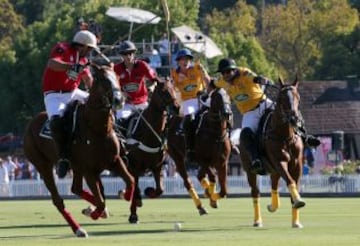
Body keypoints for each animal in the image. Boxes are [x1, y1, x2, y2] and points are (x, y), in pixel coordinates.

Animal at [23, 64, 134, 237]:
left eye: (116, 76)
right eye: (102, 79)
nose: (119, 100)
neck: (97, 129)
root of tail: (30, 124)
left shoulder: (114, 161)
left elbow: (130, 180)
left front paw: (125, 195)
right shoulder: (89, 170)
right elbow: (101, 200)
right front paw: (95, 212)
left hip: (76, 167)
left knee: (76, 188)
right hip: (43, 165)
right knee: (58, 200)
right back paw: (78, 229)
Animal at [118, 80, 180, 223]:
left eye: (174, 89)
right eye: (163, 91)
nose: (177, 108)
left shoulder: (157, 166)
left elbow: (160, 189)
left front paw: (148, 191)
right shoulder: (134, 166)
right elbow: (135, 186)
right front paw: (133, 215)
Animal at [240, 77, 306, 229]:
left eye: (298, 97)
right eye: (281, 98)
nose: (295, 119)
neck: (285, 136)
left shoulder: (297, 164)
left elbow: (294, 184)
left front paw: (296, 222)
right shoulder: (279, 161)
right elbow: (290, 180)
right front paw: (299, 201)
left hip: (273, 170)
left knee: (274, 186)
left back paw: (272, 206)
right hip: (250, 170)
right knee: (255, 192)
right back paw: (257, 220)